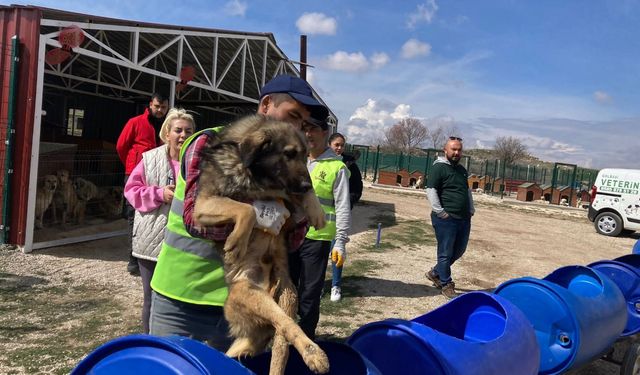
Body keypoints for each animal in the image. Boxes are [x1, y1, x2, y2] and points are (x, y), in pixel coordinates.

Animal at [192, 115, 328, 375]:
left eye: (305, 155)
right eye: (289, 153)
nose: (307, 184)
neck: (256, 176)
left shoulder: (287, 196)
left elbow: (297, 198)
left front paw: (316, 209)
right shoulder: (202, 205)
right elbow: (246, 209)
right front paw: (236, 242)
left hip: (286, 299)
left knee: (286, 332)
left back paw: (313, 354)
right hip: (253, 298)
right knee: (279, 327)